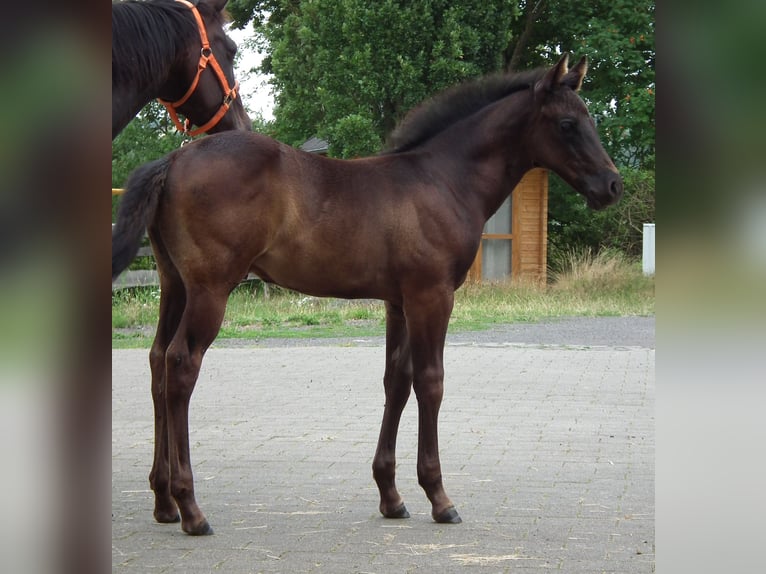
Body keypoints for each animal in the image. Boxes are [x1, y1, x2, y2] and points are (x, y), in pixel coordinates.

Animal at [112, 54, 622, 535]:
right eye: (567, 124)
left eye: (592, 119)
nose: (612, 186)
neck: (442, 180)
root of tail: (172, 160)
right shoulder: (431, 296)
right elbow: (431, 382)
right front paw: (440, 498)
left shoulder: (399, 301)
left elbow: (397, 381)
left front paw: (392, 497)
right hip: (211, 289)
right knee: (181, 365)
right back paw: (191, 509)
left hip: (175, 285)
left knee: (158, 361)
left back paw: (163, 502)